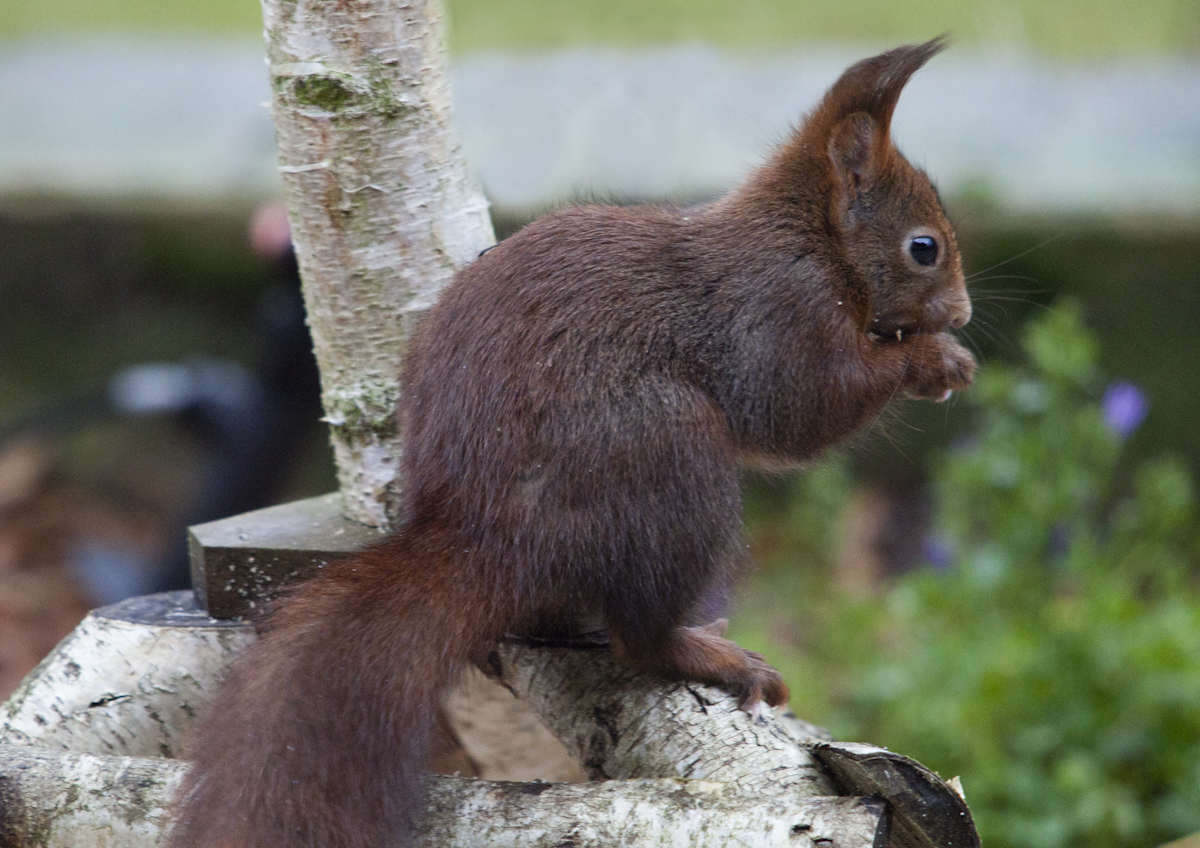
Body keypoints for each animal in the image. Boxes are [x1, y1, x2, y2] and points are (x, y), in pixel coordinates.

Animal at [169, 38, 974, 848]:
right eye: (924, 247)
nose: (964, 313)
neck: (808, 236)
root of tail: (485, 535)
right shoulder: (779, 310)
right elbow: (799, 409)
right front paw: (931, 361)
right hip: (667, 456)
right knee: (638, 637)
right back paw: (704, 651)